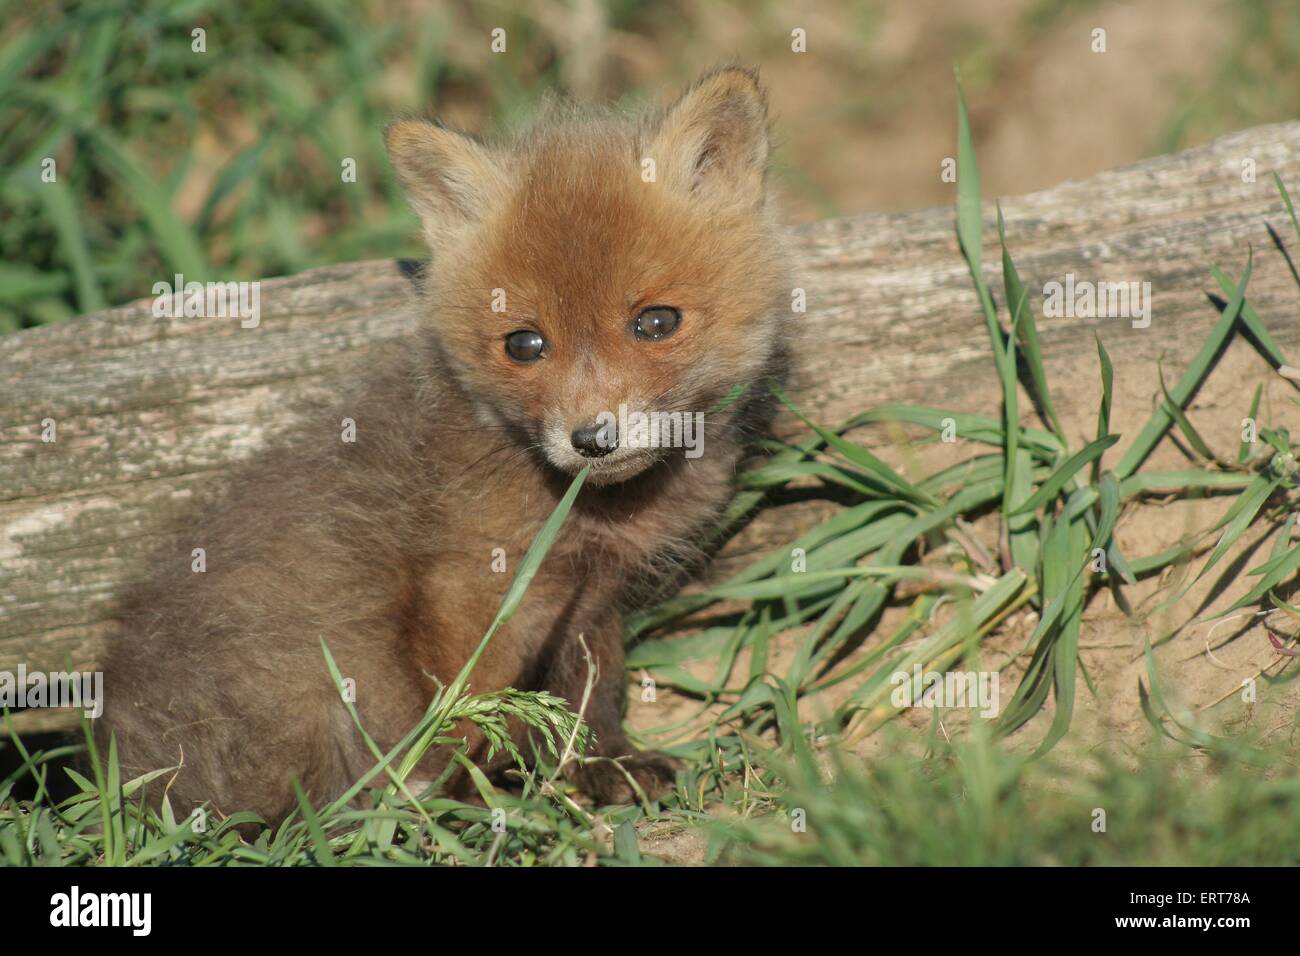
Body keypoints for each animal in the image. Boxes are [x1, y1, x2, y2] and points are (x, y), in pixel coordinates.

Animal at [98, 67, 790, 827]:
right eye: (525, 343)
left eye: (656, 322)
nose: (593, 440)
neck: (592, 514)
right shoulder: (467, 587)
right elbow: (465, 708)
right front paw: (461, 803)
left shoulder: (590, 601)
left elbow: (591, 697)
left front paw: (607, 768)